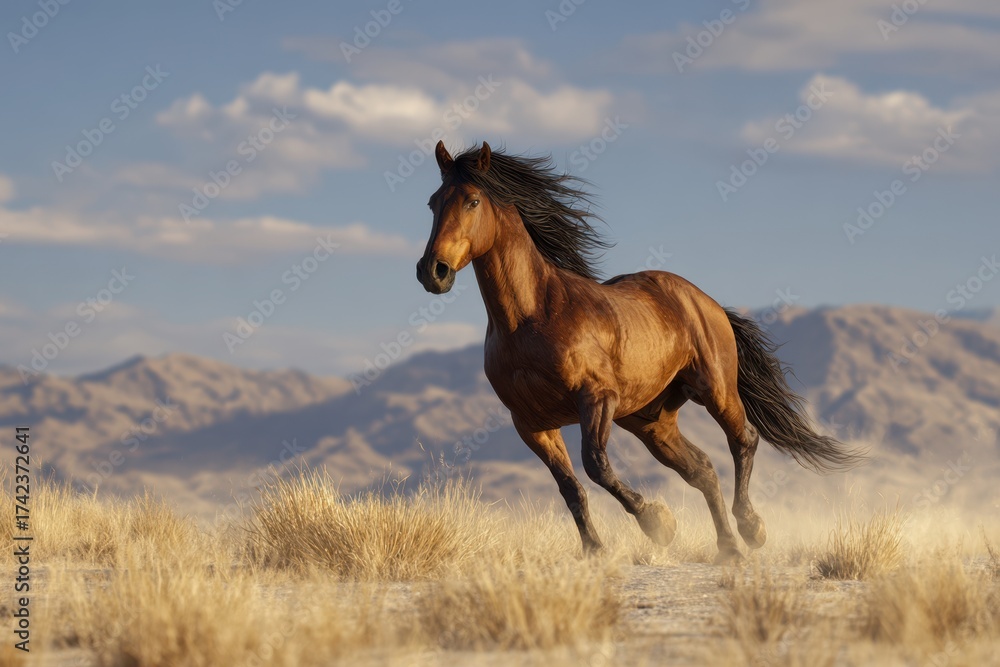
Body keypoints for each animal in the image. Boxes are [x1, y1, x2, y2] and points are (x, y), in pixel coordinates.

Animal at [416, 141, 864, 562]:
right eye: (434, 202)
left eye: (473, 200)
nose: (432, 272)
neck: (531, 317)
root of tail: (707, 302)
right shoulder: (531, 423)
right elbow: (570, 487)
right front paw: (596, 550)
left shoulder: (597, 398)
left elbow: (596, 465)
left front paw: (659, 523)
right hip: (652, 421)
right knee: (702, 469)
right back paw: (728, 548)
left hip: (715, 390)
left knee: (744, 440)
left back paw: (752, 529)